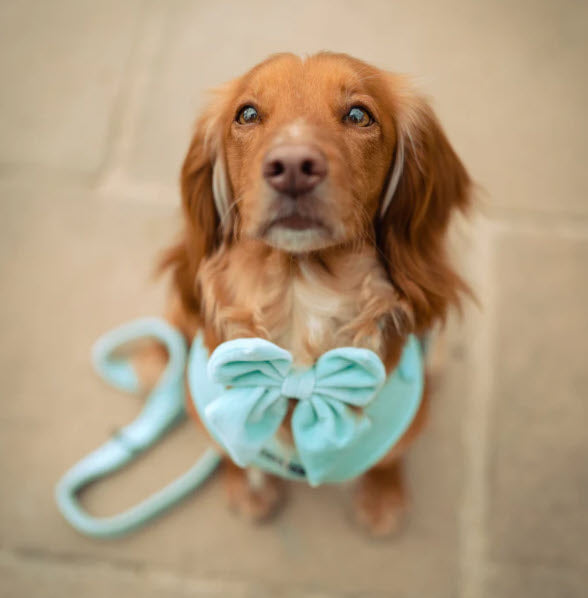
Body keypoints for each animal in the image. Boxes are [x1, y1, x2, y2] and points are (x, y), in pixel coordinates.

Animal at [136, 52, 470, 540]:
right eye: (247, 113)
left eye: (359, 115)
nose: (293, 165)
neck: (299, 296)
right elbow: (229, 450)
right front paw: (246, 483)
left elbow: (388, 458)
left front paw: (383, 495)